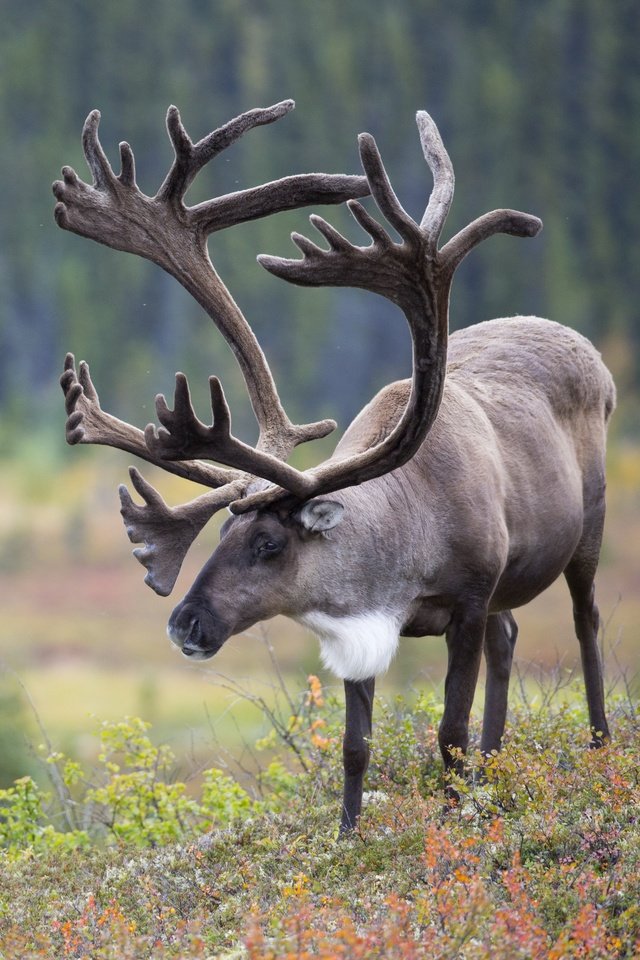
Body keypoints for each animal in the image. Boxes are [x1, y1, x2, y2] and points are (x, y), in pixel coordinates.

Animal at [54, 100, 615, 835]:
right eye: (222, 534)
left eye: (269, 544)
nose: (183, 625)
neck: (404, 539)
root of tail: (590, 351)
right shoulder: (361, 624)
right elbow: (356, 745)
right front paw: (348, 834)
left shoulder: (467, 601)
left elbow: (448, 732)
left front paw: (451, 821)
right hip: (510, 584)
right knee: (512, 634)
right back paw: (496, 773)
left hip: (588, 530)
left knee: (585, 622)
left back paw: (599, 747)